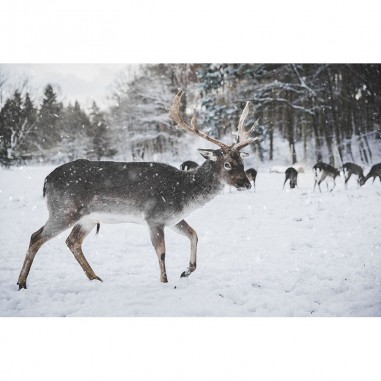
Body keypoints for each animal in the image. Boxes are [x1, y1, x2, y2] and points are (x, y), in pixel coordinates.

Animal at [16, 90, 256, 290]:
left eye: (242, 162)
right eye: (227, 164)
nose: (246, 184)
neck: (184, 194)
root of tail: (47, 180)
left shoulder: (173, 219)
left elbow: (194, 234)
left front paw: (186, 271)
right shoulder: (154, 217)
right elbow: (161, 252)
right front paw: (165, 282)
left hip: (87, 218)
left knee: (72, 242)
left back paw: (96, 278)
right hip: (64, 209)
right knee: (36, 236)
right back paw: (22, 283)